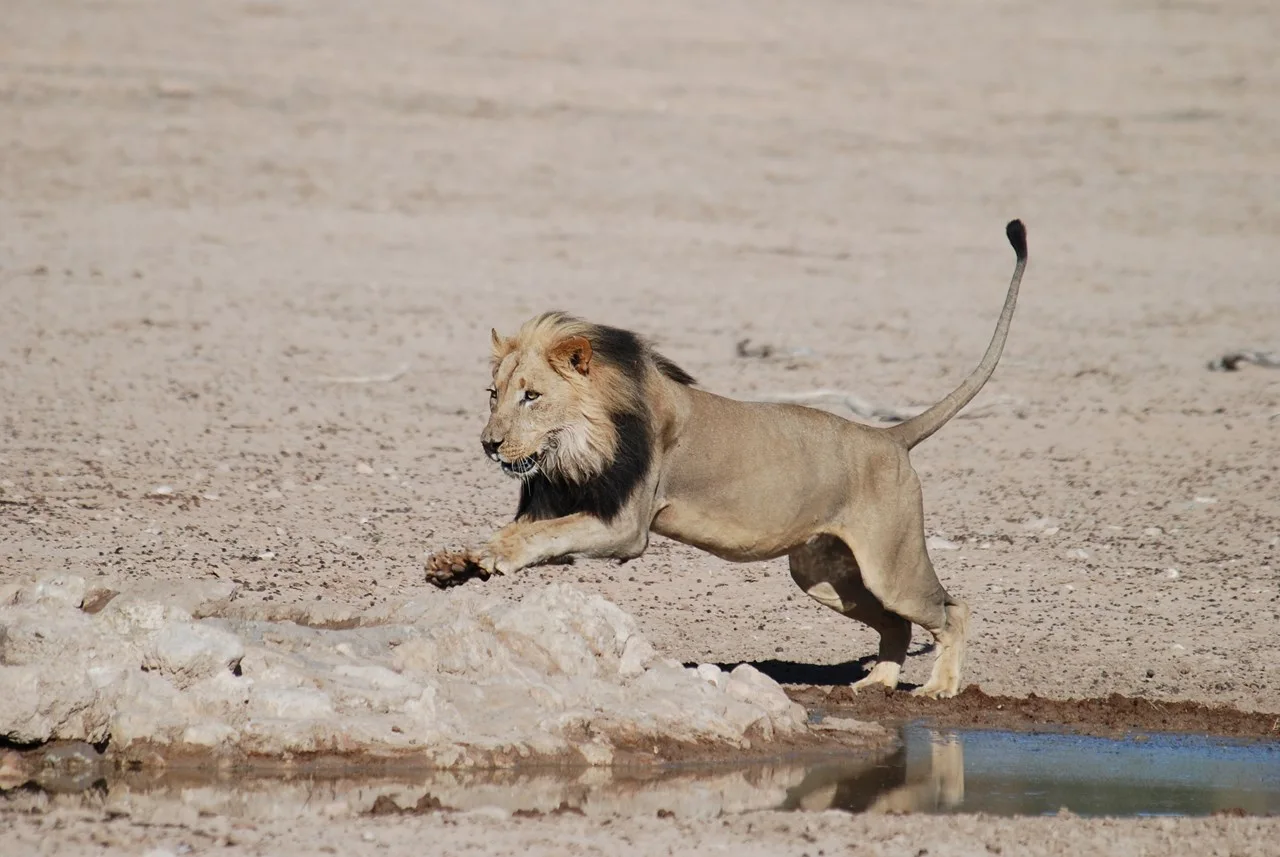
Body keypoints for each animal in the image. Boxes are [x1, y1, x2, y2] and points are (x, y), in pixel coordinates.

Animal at [426, 220, 1028, 699]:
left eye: (531, 396)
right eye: (493, 394)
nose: (489, 443)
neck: (575, 446)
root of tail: (889, 437)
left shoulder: (625, 528)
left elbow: (543, 536)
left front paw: (495, 555)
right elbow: (533, 534)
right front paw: (458, 564)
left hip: (891, 568)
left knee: (952, 610)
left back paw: (939, 688)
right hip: (822, 575)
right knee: (896, 626)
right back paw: (876, 683)